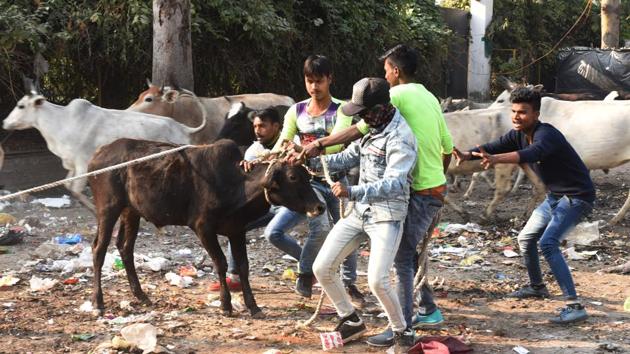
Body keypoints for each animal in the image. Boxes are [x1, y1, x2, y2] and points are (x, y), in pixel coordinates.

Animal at [1, 85, 207, 209]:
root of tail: (182, 128)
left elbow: (76, 189)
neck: (61, 121)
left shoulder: (83, 162)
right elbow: (68, 186)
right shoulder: (72, 165)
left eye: (21, 106)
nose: (4, 123)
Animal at [87, 137, 326, 316]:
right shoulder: (203, 228)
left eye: (306, 174)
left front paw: (253, 306)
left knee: (125, 248)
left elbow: (243, 266)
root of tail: (99, 153)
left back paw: (141, 295)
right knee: (99, 249)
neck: (236, 184)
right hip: (108, 210)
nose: (319, 206)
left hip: (131, 212)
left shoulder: (236, 231)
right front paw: (226, 305)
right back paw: (98, 302)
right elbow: (220, 263)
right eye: (293, 177)